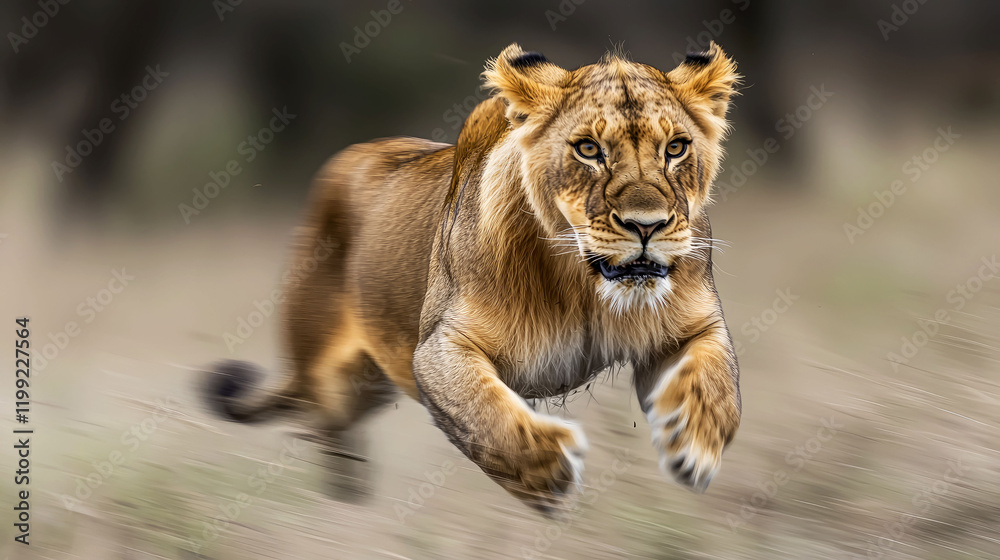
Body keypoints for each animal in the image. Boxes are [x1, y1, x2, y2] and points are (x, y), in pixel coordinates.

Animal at [204, 42, 742, 514]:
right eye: (589, 149)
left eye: (676, 148)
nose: (646, 225)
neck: (583, 285)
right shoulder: (437, 349)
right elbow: (487, 414)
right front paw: (548, 471)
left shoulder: (694, 326)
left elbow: (718, 387)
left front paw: (691, 441)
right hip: (333, 372)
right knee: (321, 422)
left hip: (366, 381)